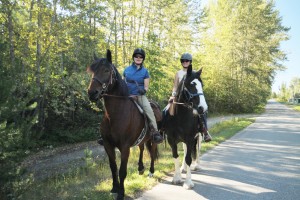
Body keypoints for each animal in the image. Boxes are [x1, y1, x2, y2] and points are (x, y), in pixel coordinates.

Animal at [87, 49, 159, 198]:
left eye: (106, 70)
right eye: (92, 71)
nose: (92, 93)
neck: (115, 115)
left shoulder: (125, 147)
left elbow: (122, 171)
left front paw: (121, 193)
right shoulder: (108, 145)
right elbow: (113, 167)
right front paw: (114, 188)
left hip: (154, 138)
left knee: (153, 152)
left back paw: (150, 171)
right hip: (143, 139)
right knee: (142, 148)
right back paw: (140, 168)